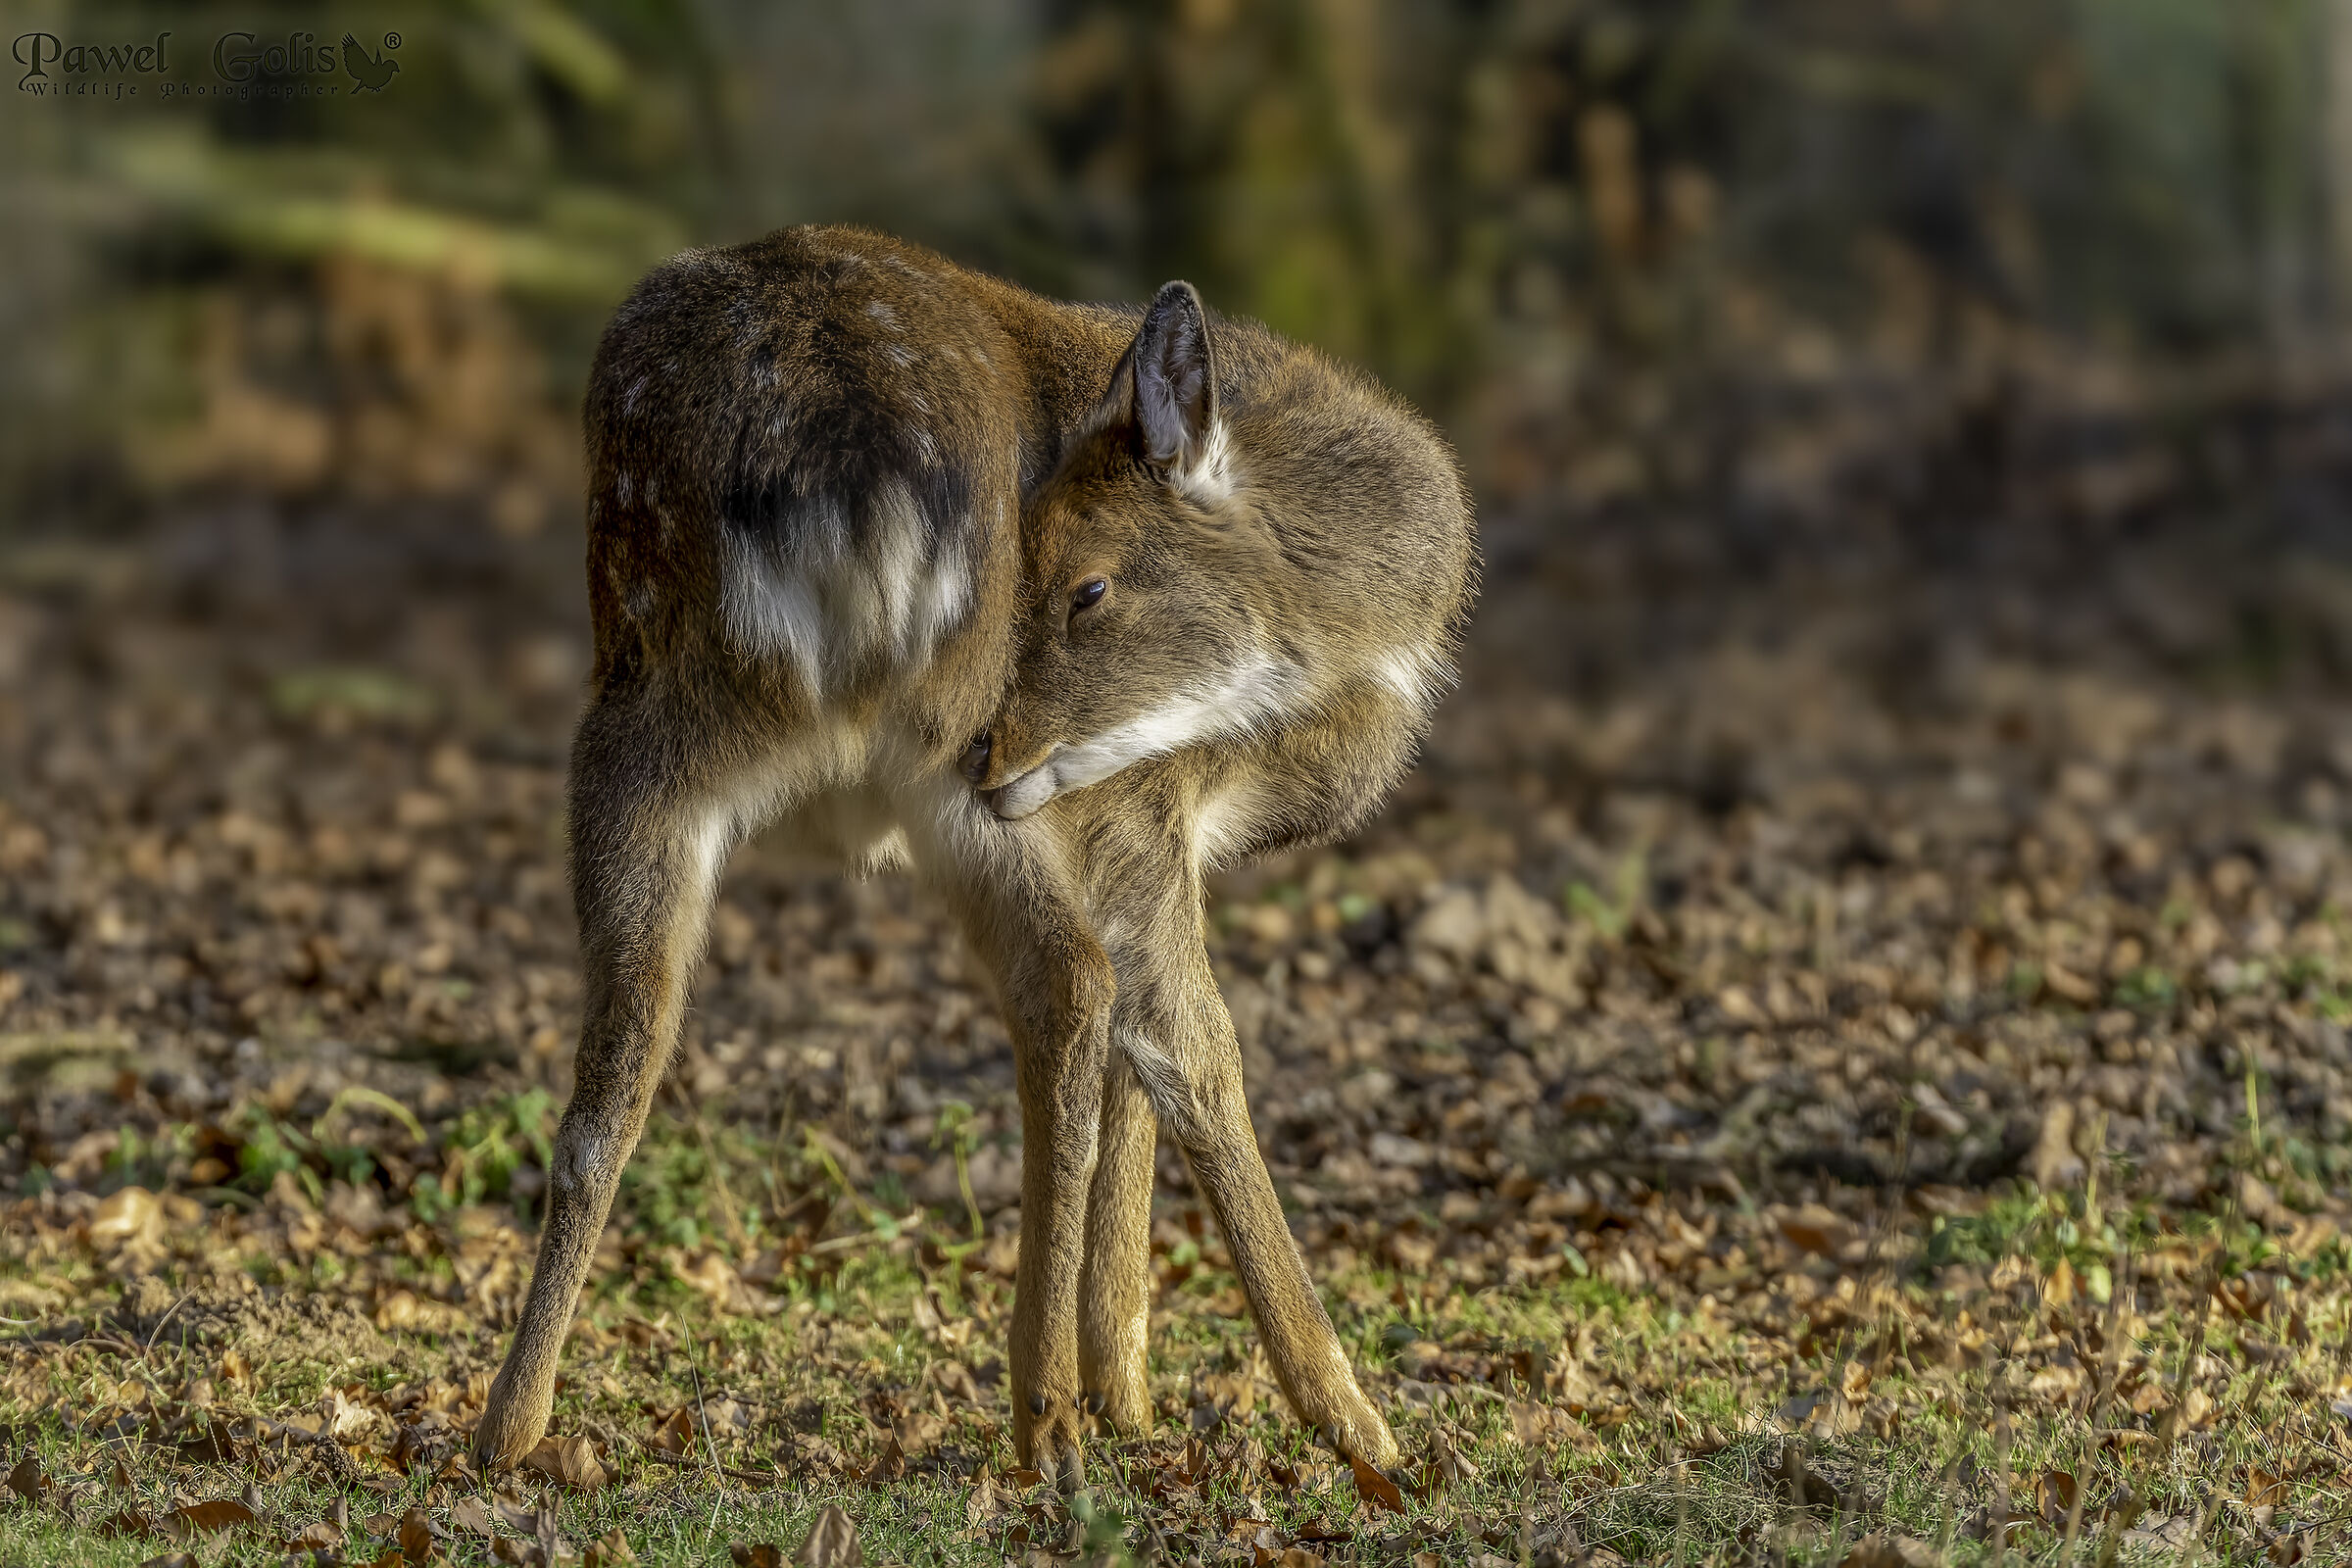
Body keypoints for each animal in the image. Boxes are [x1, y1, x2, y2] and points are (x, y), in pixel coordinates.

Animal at [469, 225, 1476, 1488]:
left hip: (662, 730)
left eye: (1089, 588)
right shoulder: (1131, 804)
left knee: (612, 1085)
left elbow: (1140, 1066)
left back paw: (505, 1430)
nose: (1007, 736)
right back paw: (1066, 1426)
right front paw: (1341, 1426)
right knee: (1074, 983)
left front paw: (1129, 1390)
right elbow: (1192, 1051)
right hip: (948, 765)